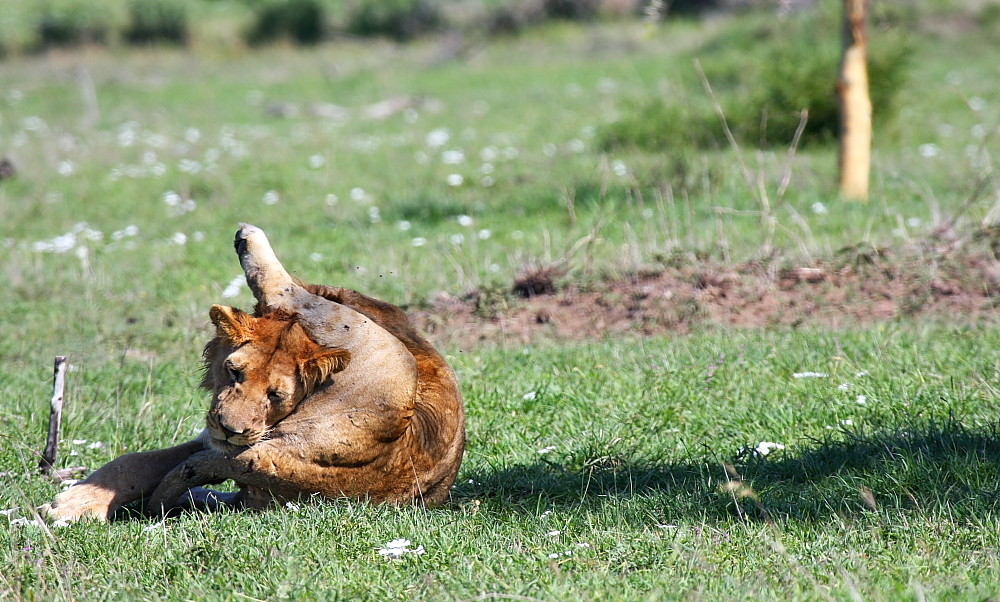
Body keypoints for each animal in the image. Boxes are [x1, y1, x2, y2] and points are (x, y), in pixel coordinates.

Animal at [45, 223, 466, 516]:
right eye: (233, 372)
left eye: (276, 394)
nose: (231, 430)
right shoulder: (212, 438)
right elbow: (135, 463)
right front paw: (75, 504)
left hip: (360, 337)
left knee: (288, 291)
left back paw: (248, 236)